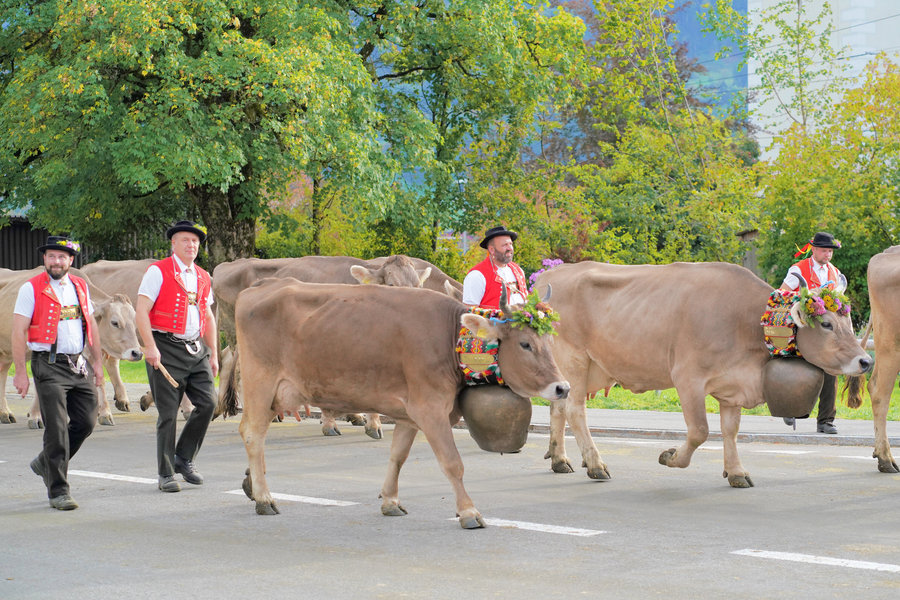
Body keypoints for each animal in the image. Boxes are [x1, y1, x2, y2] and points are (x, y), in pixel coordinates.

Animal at [0, 268, 143, 427]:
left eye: (135, 323)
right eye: (115, 322)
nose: (137, 353)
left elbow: (99, 380)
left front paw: (103, 413)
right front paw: (36, 416)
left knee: (2, 373)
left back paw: (5, 413)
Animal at [219, 280, 569, 527]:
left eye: (549, 340)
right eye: (525, 344)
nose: (563, 387)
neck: (450, 337)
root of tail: (260, 286)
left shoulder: (409, 412)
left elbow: (397, 457)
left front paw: (389, 501)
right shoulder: (430, 408)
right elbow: (452, 463)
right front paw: (469, 511)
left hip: (274, 393)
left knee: (255, 434)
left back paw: (251, 484)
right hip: (260, 382)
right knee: (252, 434)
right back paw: (264, 498)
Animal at [535, 261, 872, 487]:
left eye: (848, 322)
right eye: (826, 324)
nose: (865, 361)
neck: (744, 321)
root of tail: (549, 276)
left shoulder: (732, 386)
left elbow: (730, 430)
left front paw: (736, 472)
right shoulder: (688, 378)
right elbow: (699, 431)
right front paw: (671, 456)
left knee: (558, 407)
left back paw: (560, 459)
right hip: (575, 358)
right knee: (575, 410)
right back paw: (595, 465)